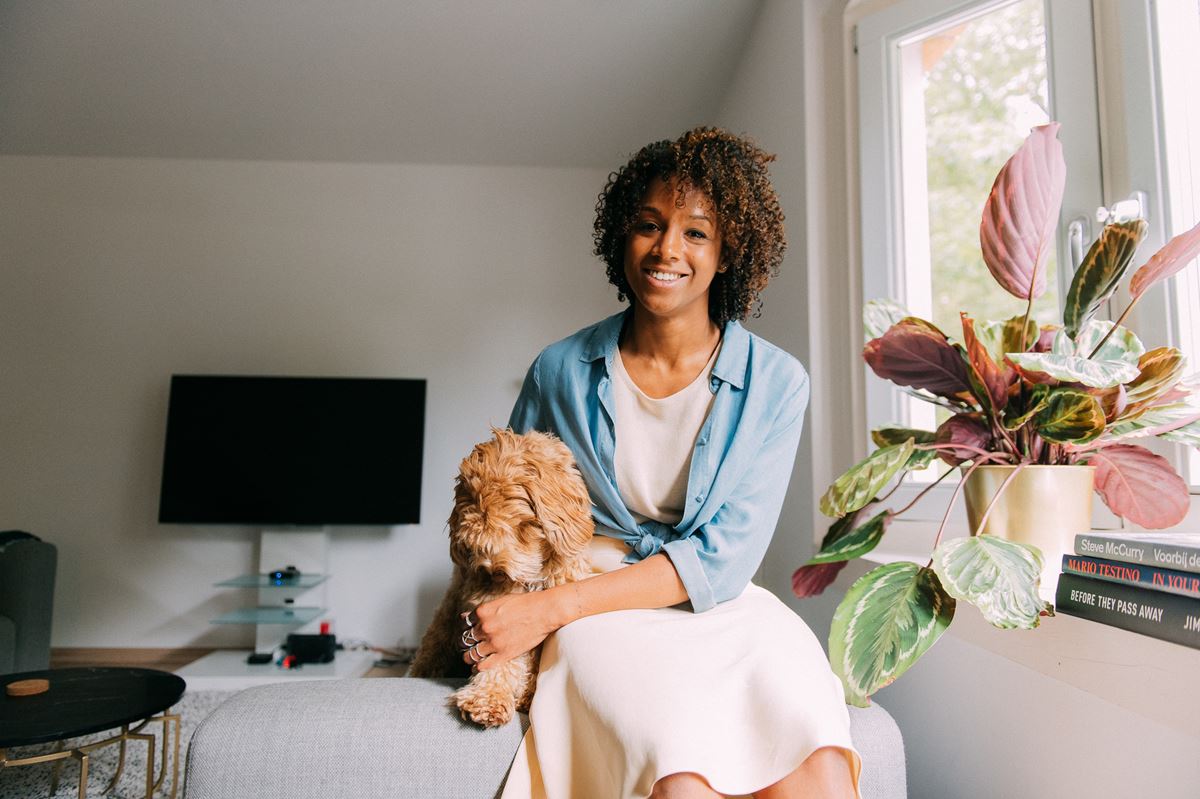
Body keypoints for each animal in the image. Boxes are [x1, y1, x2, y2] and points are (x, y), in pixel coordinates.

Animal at [410, 427, 592, 724]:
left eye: (523, 525)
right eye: (474, 543)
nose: (493, 571)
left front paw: (526, 695)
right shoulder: (492, 612)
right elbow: (502, 660)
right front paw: (487, 699)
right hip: (442, 628)